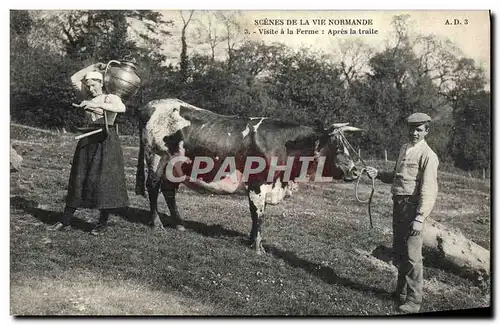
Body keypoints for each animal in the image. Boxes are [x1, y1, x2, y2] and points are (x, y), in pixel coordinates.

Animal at [135, 97, 362, 254]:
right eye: (337, 147)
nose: (356, 170)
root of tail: (151, 105)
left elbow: (256, 214)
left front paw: (252, 241)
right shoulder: (258, 184)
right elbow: (258, 214)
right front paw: (258, 247)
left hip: (176, 167)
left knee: (168, 191)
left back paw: (180, 224)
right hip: (156, 157)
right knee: (153, 186)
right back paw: (157, 223)